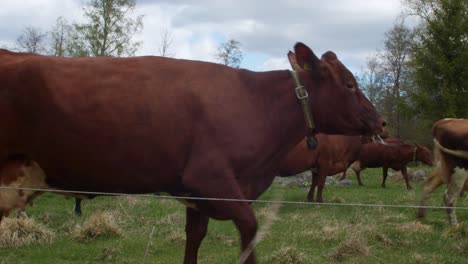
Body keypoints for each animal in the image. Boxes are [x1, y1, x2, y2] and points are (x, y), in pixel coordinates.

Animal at [0, 42, 384, 262]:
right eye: (350, 84)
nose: (380, 120)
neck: (256, 103)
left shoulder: (196, 197)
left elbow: (194, 241)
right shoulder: (212, 179)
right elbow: (250, 230)